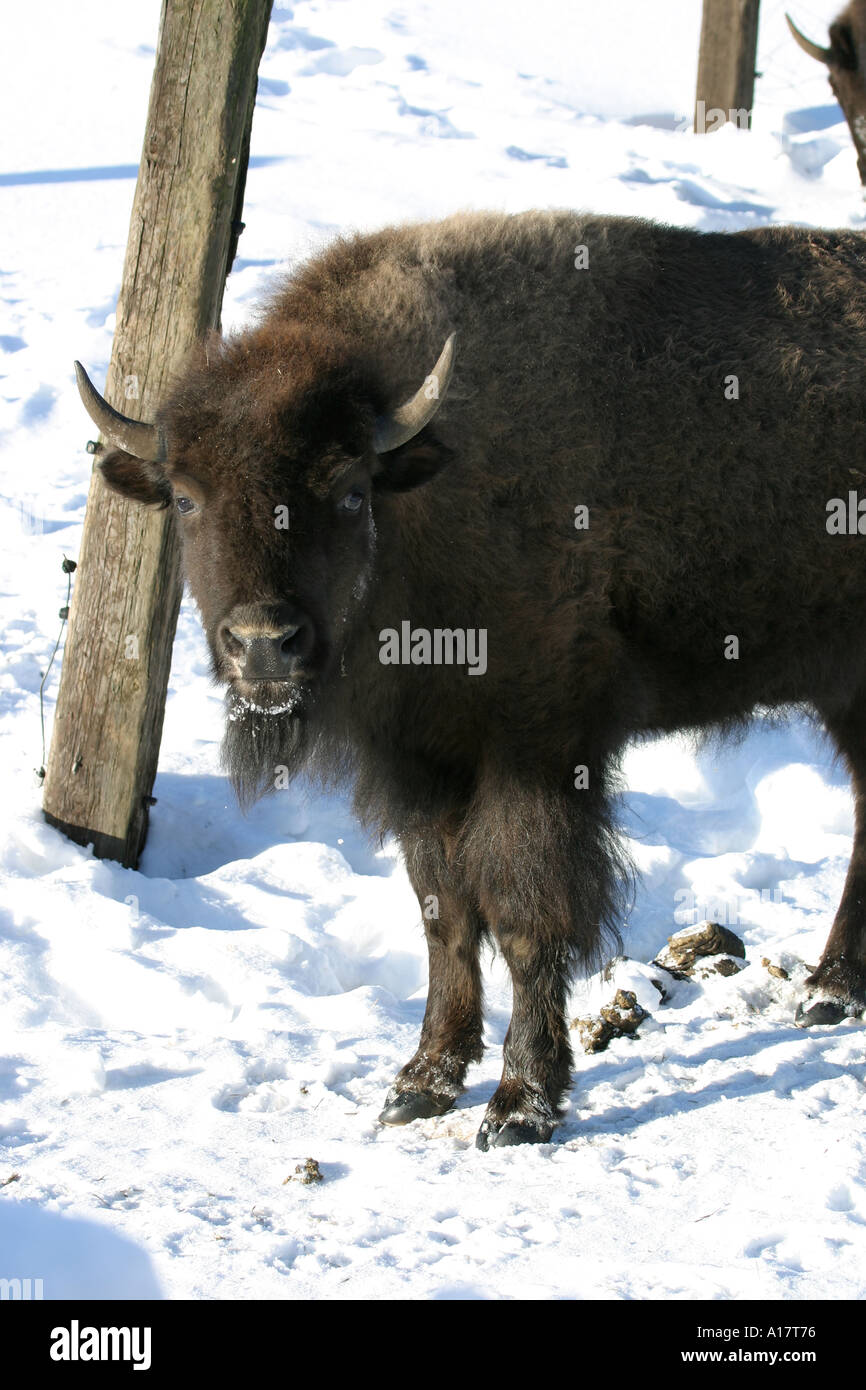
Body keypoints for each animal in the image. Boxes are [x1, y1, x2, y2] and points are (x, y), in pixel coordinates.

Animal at [75, 210, 866, 1148]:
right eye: (187, 497)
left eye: (348, 490)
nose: (265, 645)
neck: (425, 486)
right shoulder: (420, 764)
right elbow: (443, 913)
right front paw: (420, 1082)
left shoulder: (535, 752)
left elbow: (524, 916)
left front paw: (520, 1104)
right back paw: (829, 994)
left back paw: (827, 992)